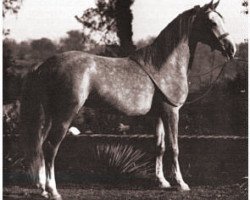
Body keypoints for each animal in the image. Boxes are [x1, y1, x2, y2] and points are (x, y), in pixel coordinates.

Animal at [20, 0, 235, 199]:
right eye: (211, 22)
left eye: (222, 19)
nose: (231, 50)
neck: (164, 65)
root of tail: (44, 65)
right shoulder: (171, 111)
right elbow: (174, 147)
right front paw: (181, 184)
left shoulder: (158, 114)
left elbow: (159, 146)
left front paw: (162, 181)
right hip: (65, 115)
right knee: (50, 147)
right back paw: (53, 190)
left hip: (49, 114)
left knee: (41, 145)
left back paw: (43, 189)